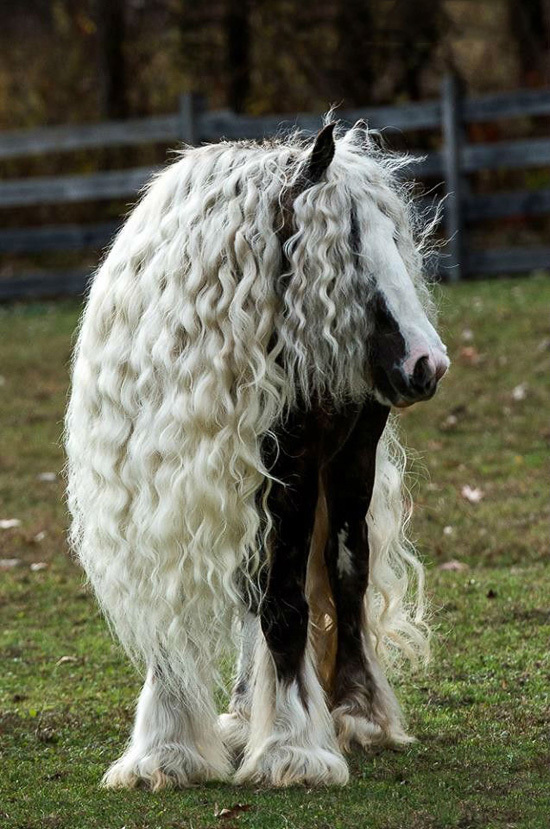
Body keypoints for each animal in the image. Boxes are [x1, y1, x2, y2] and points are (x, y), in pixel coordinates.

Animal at [65, 121, 449, 789]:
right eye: (349, 247)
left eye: (393, 240)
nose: (427, 363)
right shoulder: (159, 496)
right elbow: (184, 611)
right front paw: (166, 750)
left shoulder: (290, 476)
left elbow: (288, 604)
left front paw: (292, 747)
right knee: (256, 587)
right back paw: (247, 713)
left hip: (348, 464)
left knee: (345, 572)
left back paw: (356, 714)